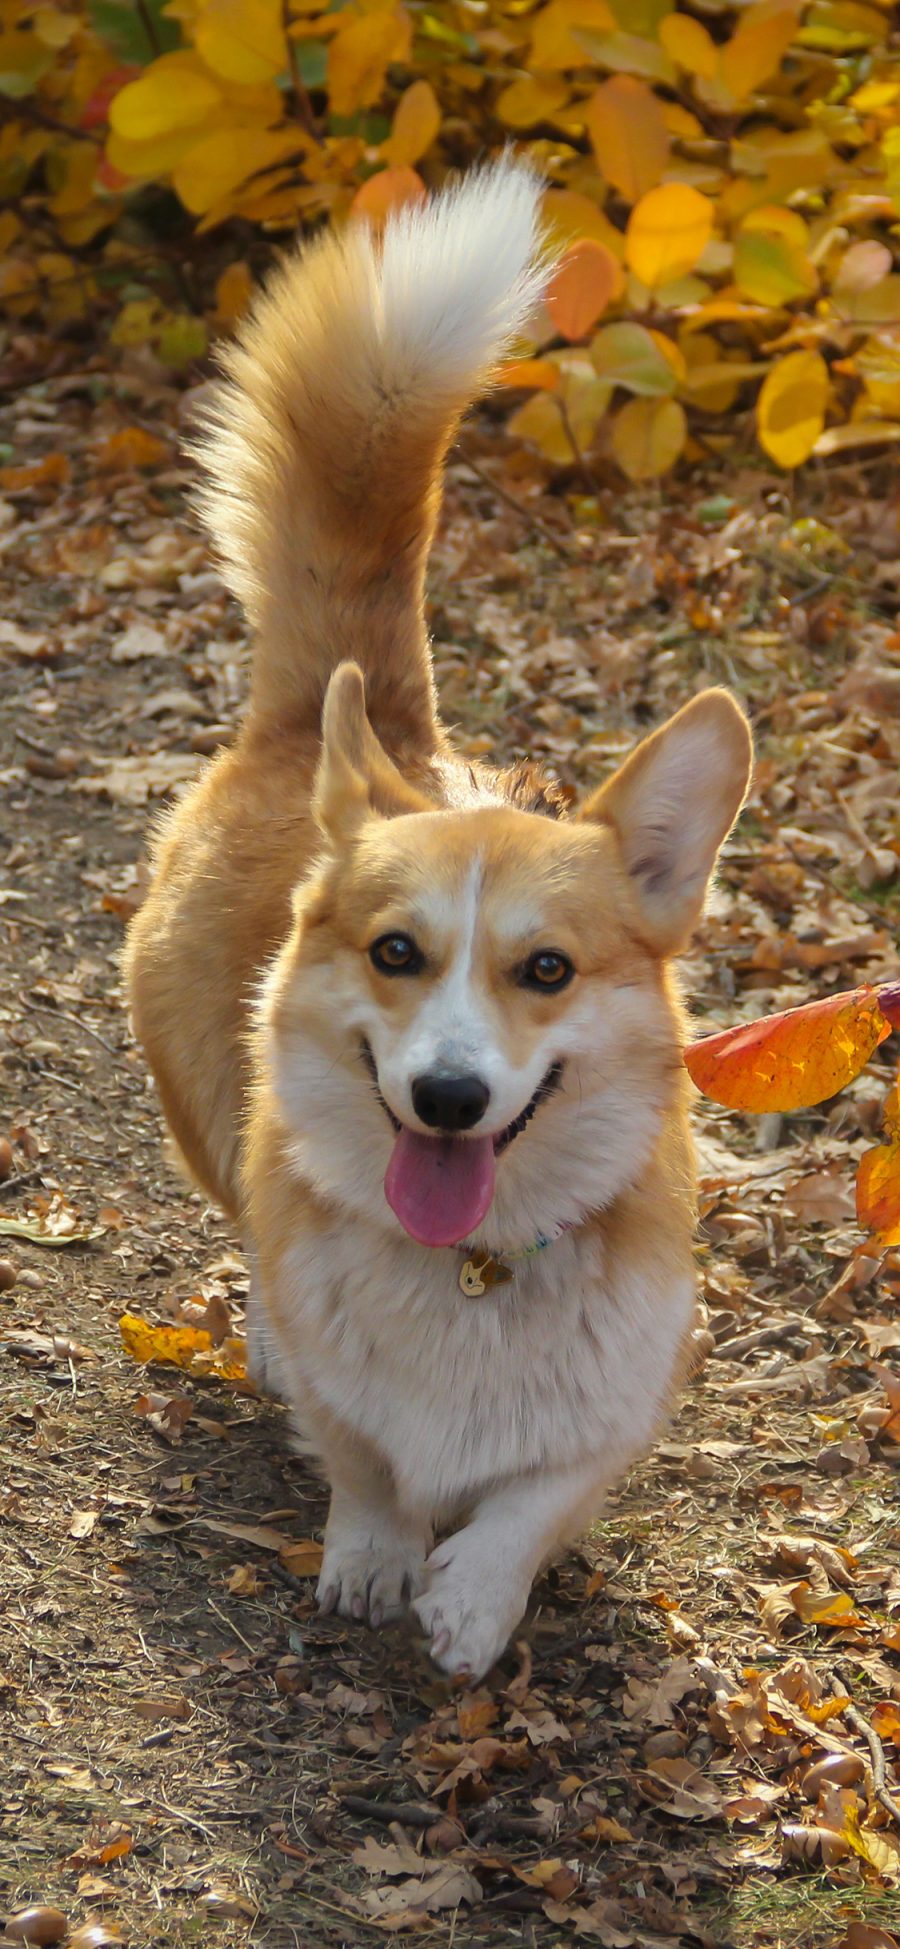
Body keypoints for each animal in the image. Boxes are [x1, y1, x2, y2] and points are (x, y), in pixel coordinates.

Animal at [123, 159, 748, 1683]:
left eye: (547, 968)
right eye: (396, 952)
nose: (452, 1099)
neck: (471, 1268)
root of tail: (345, 724)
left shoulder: (631, 1388)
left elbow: (540, 1491)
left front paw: (474, 1592)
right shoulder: (349, 1390)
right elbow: (363, 1454)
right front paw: (377, 1553)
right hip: (201, 1102)